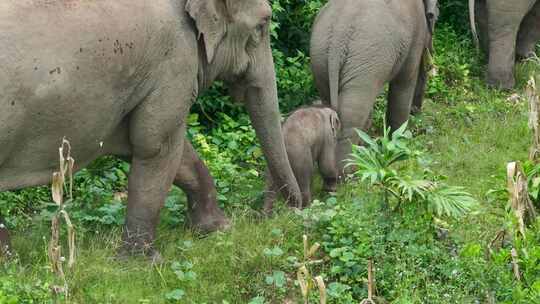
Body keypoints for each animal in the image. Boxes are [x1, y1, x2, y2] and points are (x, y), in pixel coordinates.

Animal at [0, 0, 302, 258]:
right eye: (263, 24)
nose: (290, 210)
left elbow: (171, 154)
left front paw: (218, 229)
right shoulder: (174, 60)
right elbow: (157, 146)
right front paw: (142, 263)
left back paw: (10, 261)